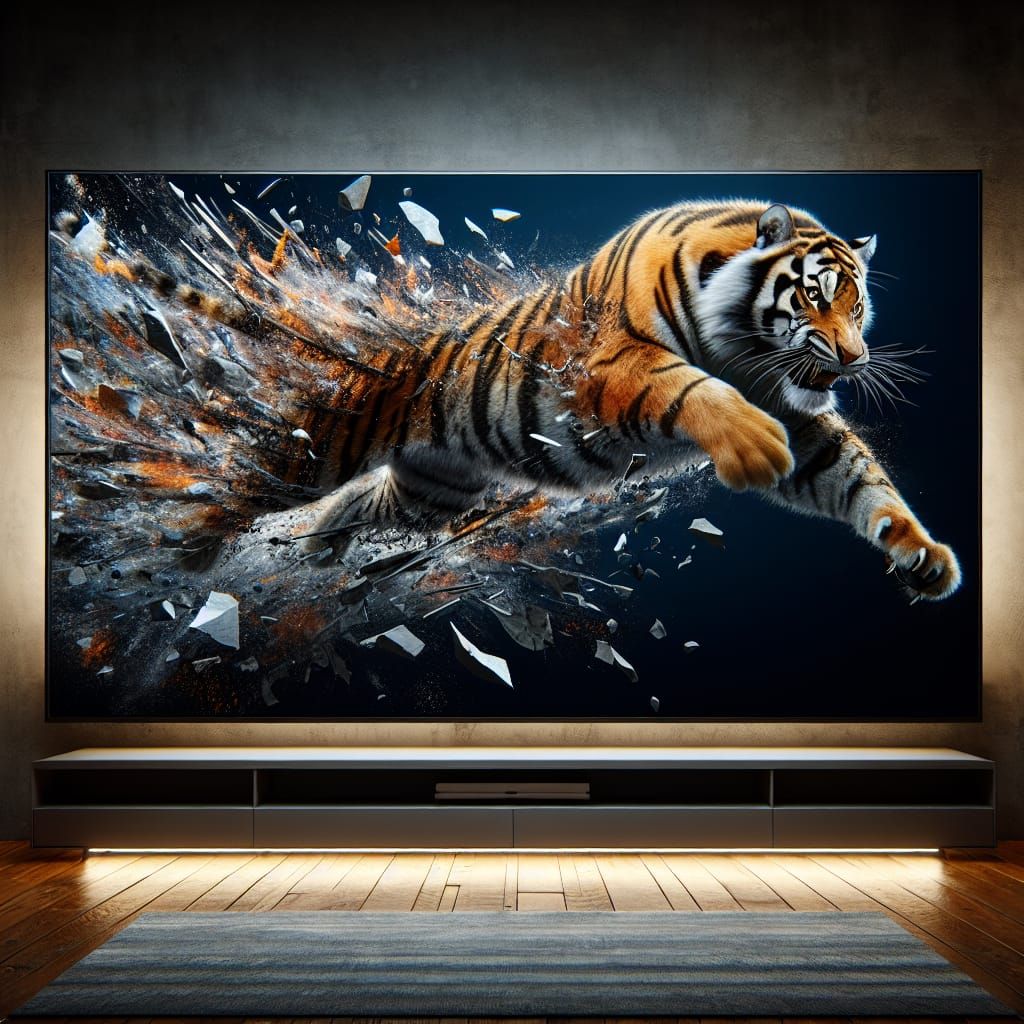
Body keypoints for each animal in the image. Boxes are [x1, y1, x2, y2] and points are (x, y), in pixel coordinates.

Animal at [298, 198, 960, 602]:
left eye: (857, 305)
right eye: (816, 295)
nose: (854, 357)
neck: (741, 349)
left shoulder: (797, 413)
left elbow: (854, 476)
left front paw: (921, 552)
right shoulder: (613, 362)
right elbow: (687, 385)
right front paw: (754, 445)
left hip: (435, 492)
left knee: (370, 499)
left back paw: (320, 541)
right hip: (324, 451)